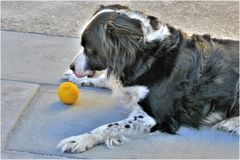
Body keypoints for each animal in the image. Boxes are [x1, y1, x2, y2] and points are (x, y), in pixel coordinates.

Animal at [57, 4, 239, 153]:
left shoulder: (153, 118)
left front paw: (80, 139)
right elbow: (107, 80)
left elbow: (108, 127)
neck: (146, 54)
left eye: (87, 47)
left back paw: (231, 123)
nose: (72, 66)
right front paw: (75, 78)